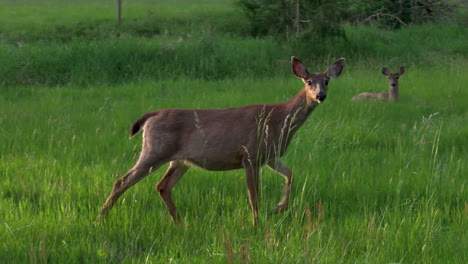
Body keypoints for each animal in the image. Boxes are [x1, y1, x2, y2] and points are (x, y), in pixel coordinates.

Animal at [94, 56, 344, 226]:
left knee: (163, 186)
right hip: (155, 150)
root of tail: (150, 116)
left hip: (179, 160)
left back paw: (181, 223)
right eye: (309, 81)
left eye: (327, 81)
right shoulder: (250, 155)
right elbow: (254, 196)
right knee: (122, 181)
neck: (279, 120)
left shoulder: (270, 156)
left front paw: (278, 208)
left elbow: (290, 174)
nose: (320, 96)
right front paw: (257, 223)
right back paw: (100, 218)